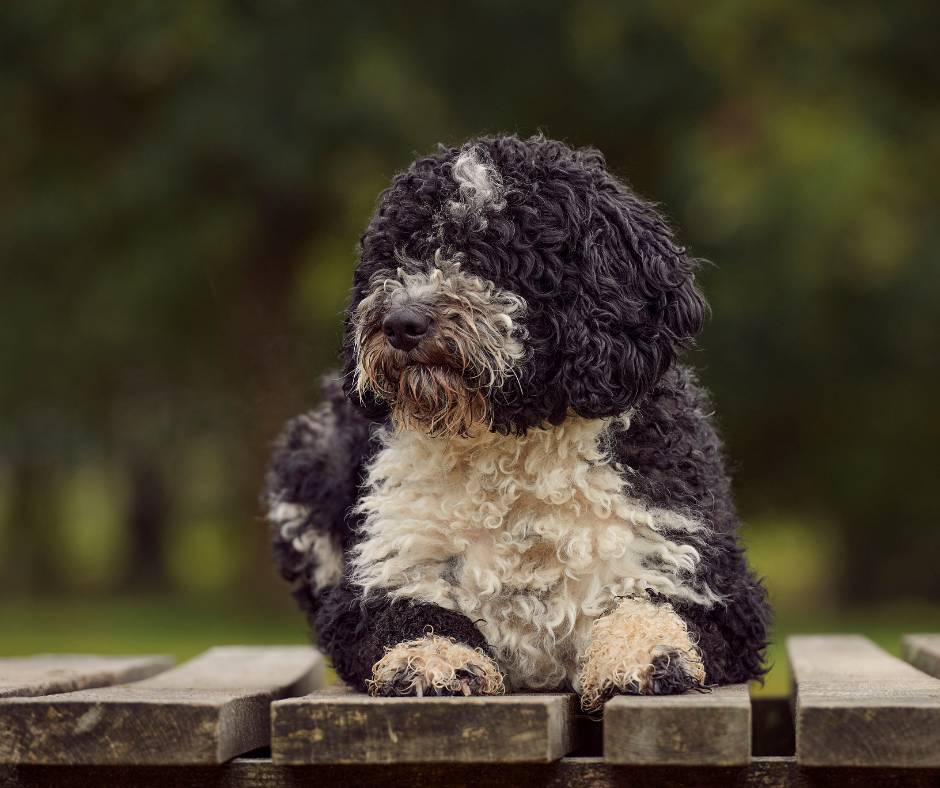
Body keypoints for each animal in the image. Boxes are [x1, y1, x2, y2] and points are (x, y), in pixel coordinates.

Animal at [264, 134, 772, 708]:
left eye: (495, 251)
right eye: (394, 256)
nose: (401, 323)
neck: (511, 449)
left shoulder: (714, 588)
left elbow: (647, 604)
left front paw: (644, 653)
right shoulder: (375, 582)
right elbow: (415, 614)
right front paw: (434, 659)